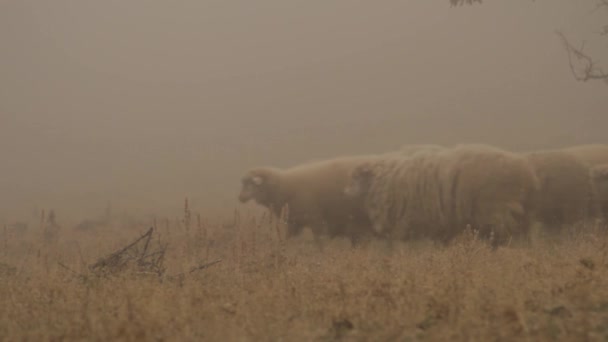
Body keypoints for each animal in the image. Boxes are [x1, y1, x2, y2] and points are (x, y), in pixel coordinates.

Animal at [238, 155, 376, 246]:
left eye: (251, 184)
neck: (283, 185)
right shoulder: (294, 223)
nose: (241, 198)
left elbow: (320, 241)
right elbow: (288, 239)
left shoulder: (316, 219)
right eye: (243, 183)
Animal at [344, 143, 540, 247]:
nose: (344, 191)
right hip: (522, 216)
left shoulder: (409, 226)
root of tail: (528, 175)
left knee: (506, 239)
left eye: (356, 177)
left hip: (500, 213)